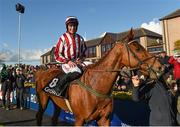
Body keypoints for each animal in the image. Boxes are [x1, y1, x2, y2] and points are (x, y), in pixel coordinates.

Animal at [34, 29, 163, 125]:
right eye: (137, 48)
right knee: (39, 116)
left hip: (56, 102)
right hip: (43, 99)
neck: (96, 86)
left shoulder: (104, 119)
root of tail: (42, 72)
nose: (160, 66)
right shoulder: (79, 120)